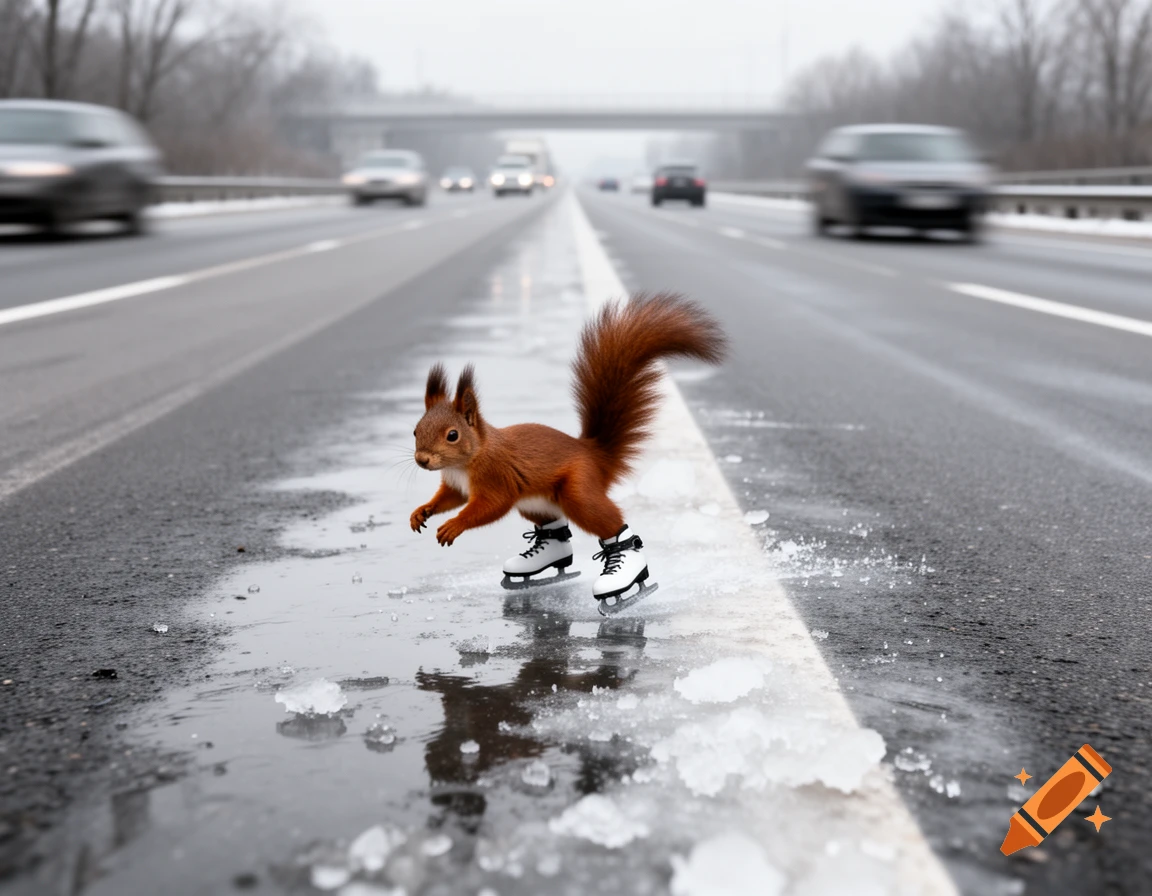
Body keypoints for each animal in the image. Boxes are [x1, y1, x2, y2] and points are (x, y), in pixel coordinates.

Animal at [409, 292, 726, 548]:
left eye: (453, 435)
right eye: (415, 431)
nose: (422, 460)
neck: (465, 462)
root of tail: (596, 455)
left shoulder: (496, 477)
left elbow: (490, 506)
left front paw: (454, 525)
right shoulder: (455, 485)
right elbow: (449, 499)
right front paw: (422, 511)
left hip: (579, 490)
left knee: (611, 523)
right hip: (537, 504)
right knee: (554, 526)